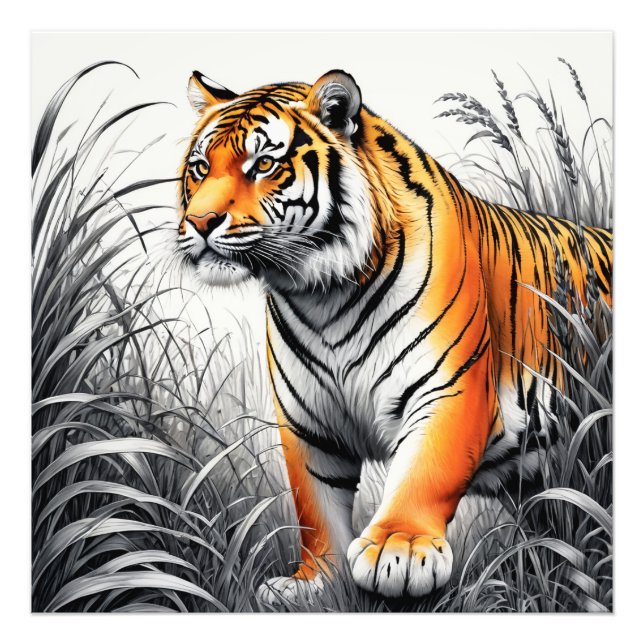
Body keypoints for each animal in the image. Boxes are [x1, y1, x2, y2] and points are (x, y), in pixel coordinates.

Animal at [177, 69, 612, 601]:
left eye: (263, 164)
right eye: (200, 168)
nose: (199, 222)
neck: (324, 297)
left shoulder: (450, 388)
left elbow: (424, 472)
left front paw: (398, 551)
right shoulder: (308, 422)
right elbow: (314, 505)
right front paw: (316, 582)